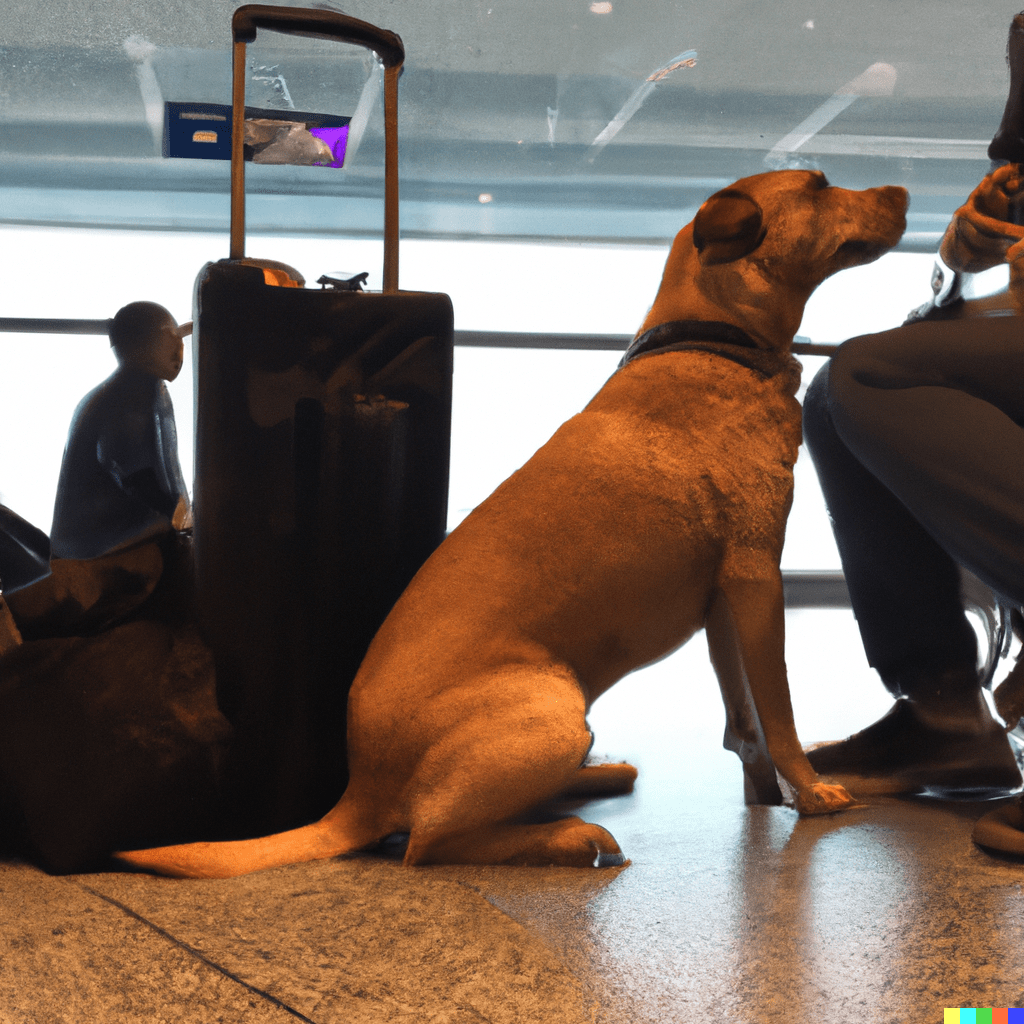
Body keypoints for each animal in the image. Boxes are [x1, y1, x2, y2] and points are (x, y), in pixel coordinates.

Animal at [116, 172, 909, 876]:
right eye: (818, 186)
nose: (904, 192)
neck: (712, 337)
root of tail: (358, 794)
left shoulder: (723, 602)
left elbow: (744, 718)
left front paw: (765, 792)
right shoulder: (757, 579)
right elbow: (779, 711)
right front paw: (810, 792)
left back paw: (596, 779)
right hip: (554, 709)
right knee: (428, 842)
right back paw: (571, 837)